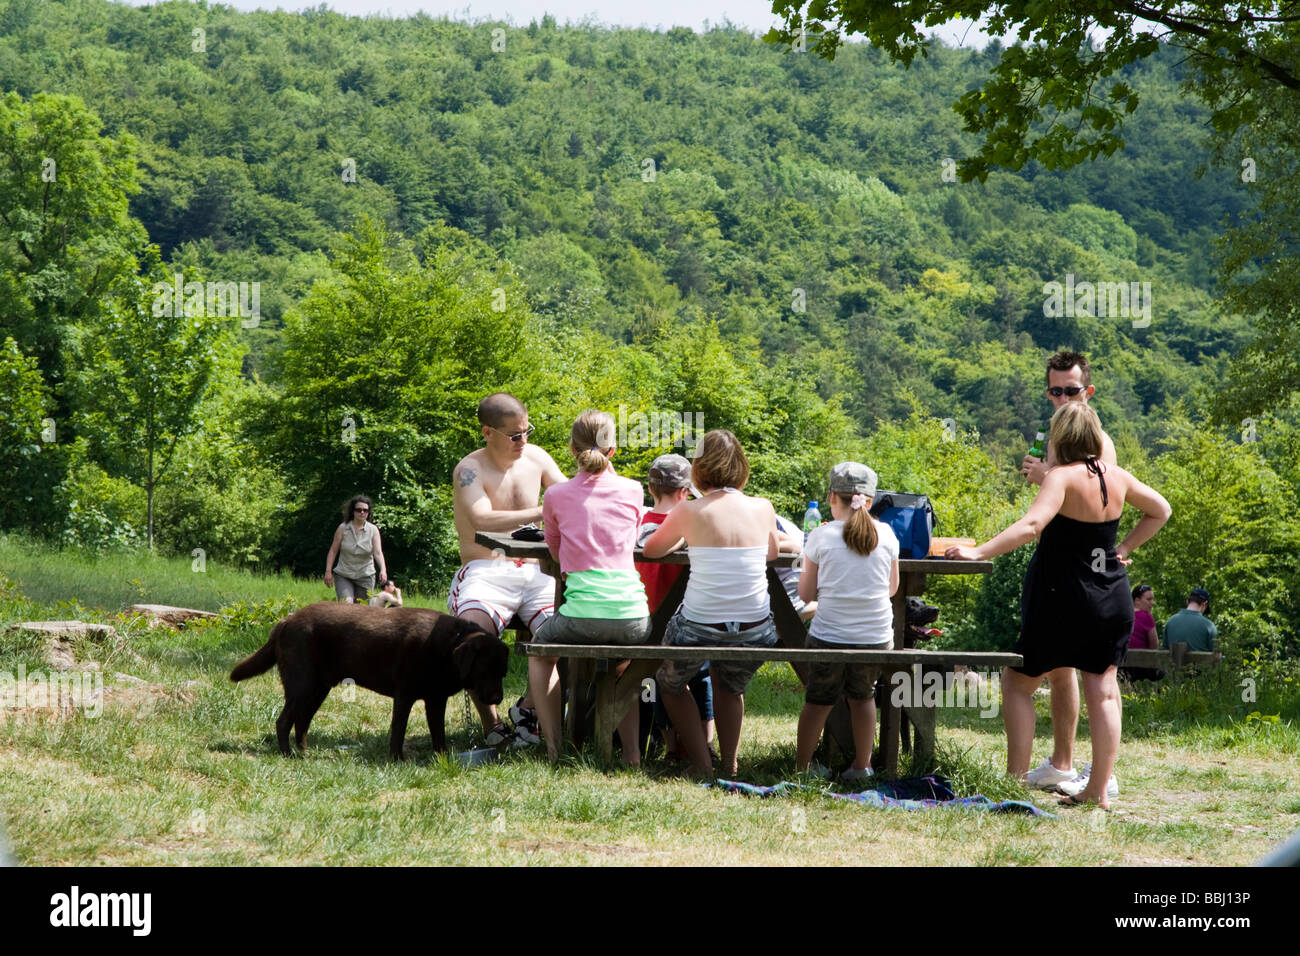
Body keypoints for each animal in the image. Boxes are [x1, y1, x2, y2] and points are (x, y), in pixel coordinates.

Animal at [231, 600, 504, 759]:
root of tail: (285, 620)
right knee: (284, 721)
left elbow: (439, 733)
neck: (448, 647)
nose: (498, 699)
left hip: (318, 689)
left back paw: (305, 753)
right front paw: (396, 760)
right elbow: (398, 731)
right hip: (303, 685)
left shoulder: (435, 700)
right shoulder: (404, 695)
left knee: (302, 721)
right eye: (484, 669)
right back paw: (287, 754)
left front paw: (442, 758)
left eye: (502, 672)